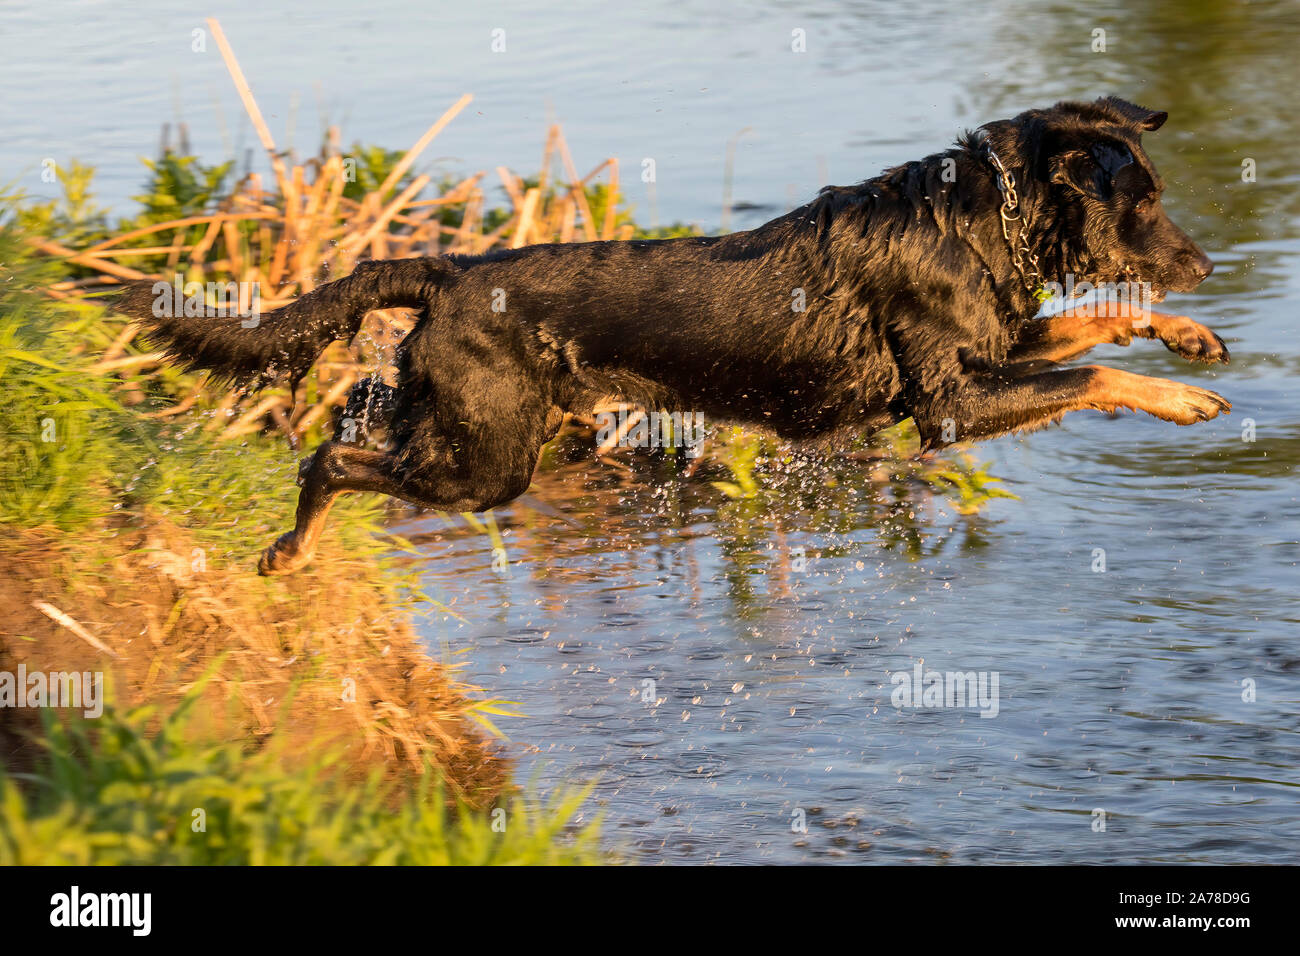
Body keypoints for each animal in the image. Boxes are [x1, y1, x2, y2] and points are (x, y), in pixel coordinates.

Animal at [111, 95, 1227, 574]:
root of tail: (452, 267)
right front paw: (1184, 397)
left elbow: (1097, 318)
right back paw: (288, 548)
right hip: (487, 460)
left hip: (463, 434)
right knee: (329, 459)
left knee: (348, 432)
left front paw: (1185, 336)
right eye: (1146, 201)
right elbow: (1094, 372)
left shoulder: (986, 358)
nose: (1209, 267)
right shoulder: (947, 405)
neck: (979, 217)